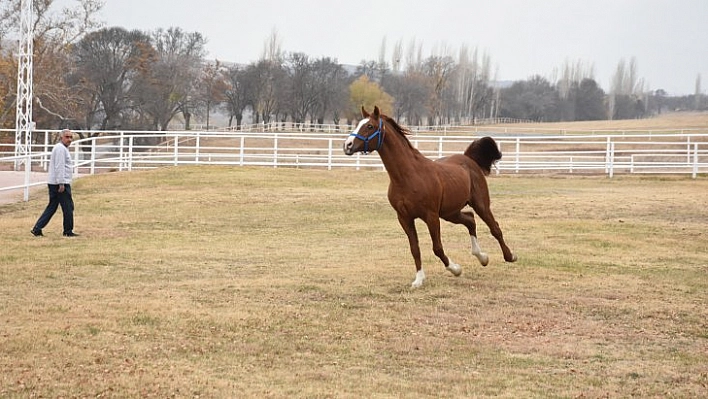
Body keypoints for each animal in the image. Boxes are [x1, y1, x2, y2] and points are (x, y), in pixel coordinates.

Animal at [342, 106, 516, 288]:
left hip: (480, 204)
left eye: (370, 126)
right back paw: (482, 258)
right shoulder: (404, 218)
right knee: (470, 220)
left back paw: (509, 256)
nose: (347, 145)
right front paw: (419, 279)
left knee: (494, 228)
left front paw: (456, 269)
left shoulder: (431, 216)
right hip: (450, 213)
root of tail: (468, 158)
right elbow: (415, 249)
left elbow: (437, 248)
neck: (408, 176)